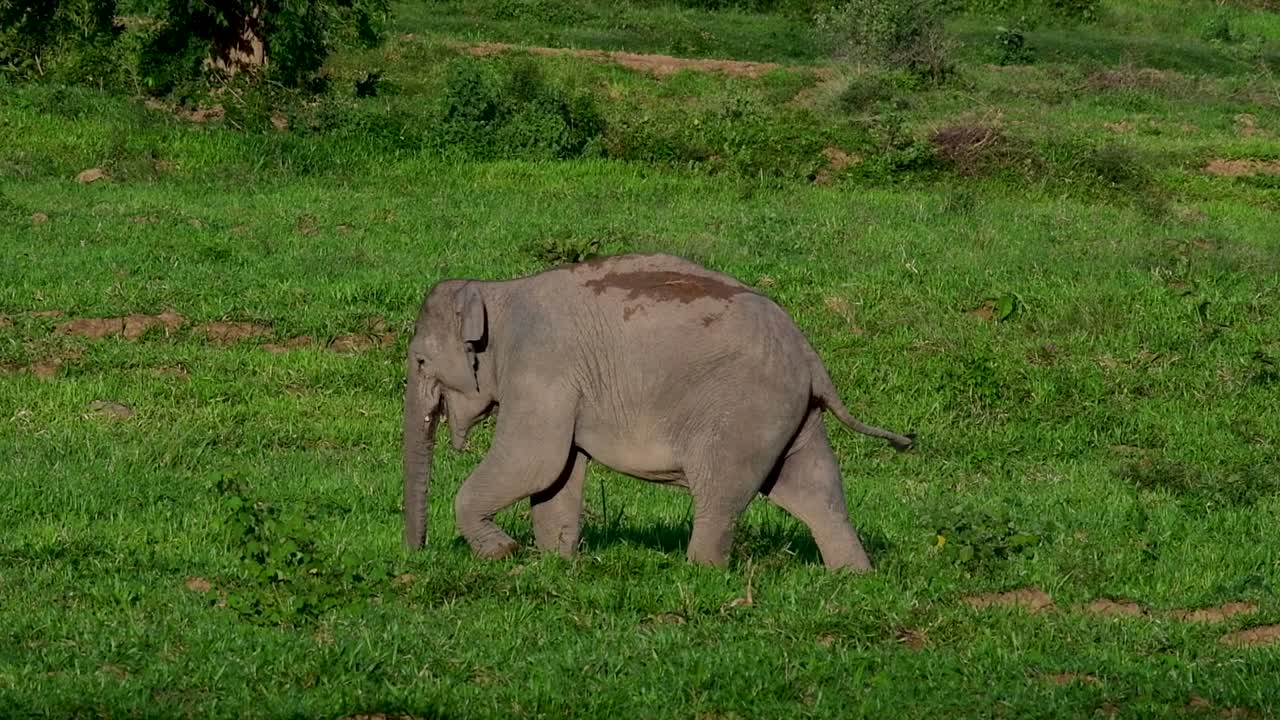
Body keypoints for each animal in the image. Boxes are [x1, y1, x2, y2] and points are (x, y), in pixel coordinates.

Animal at [403, 253, 915, 572]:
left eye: (421, 361)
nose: (417, 554)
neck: (497, 293)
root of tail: (810, 354)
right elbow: (557, 475)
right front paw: (555, 563)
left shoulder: (542, 369)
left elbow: (534, 461)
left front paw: (502, 553)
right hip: (790, 412)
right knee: (812, 486)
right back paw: (853, 576)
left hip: (742, 411)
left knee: (723, 492)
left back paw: (701, 573)